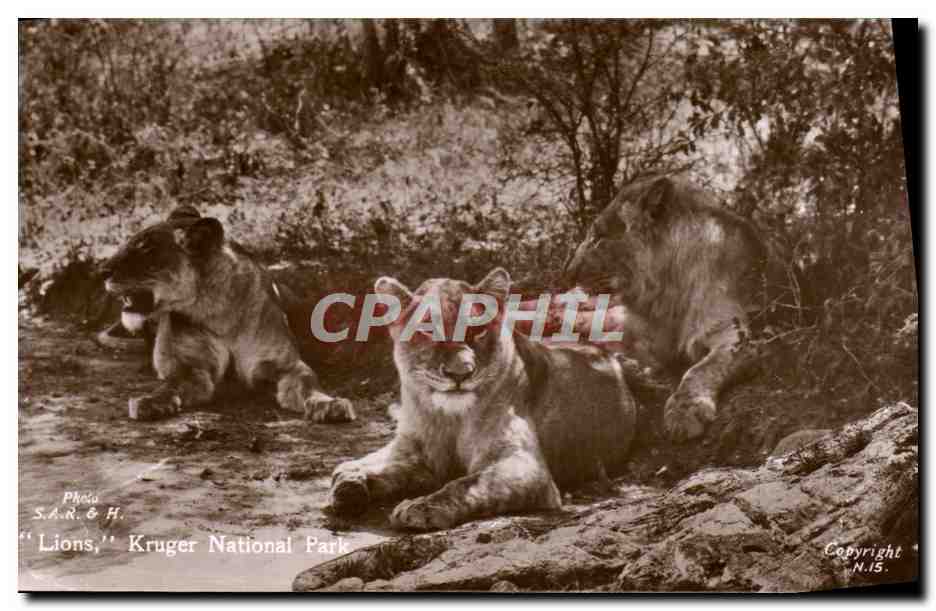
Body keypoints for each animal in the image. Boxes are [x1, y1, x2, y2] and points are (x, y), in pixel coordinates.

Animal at [100, 205, 355, 424]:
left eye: (146, 249)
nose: (102, 271)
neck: (217, 310)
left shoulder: (286, 365)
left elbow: (309, 384)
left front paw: (329, 404)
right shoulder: (190, 368)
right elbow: (170, 385)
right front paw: (151, 402)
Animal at [327, 268, 636, 531]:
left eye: (477, 331)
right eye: (428, 331)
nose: (460, 372)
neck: (449, 418)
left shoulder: (526, 467)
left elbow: (466, 484)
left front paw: (420, 507)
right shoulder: (421, 454)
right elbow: (392, 465)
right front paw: (351, 481)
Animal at [565, 175, 786, 442]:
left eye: (599, 237)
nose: (567, 273)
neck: (668, 289)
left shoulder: (741, 338)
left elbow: (702, 369)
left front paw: (685, 410)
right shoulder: (648, 335)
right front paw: (634, 368)